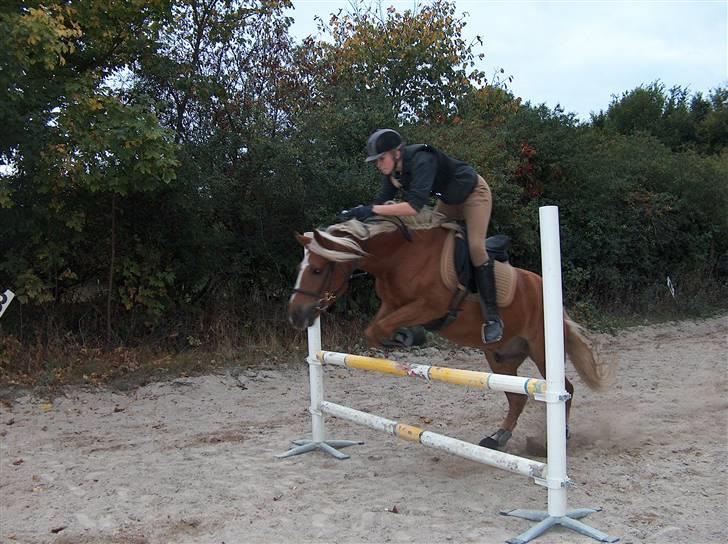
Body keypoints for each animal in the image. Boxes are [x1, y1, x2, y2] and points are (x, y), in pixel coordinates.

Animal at [286, 210, 616, 448]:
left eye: (317, 270)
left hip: (541, 347)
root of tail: (544, 288)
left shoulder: (431, 306)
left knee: (566, 390)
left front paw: (407, 337)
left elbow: (381, 328)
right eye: (301, 268)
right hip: (500, 356)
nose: (296, 316)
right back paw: (498, 437)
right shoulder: (391, 305)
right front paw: (403, 338)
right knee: (517, 398)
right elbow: (374, 329)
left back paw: (561, 436)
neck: (398, 257)